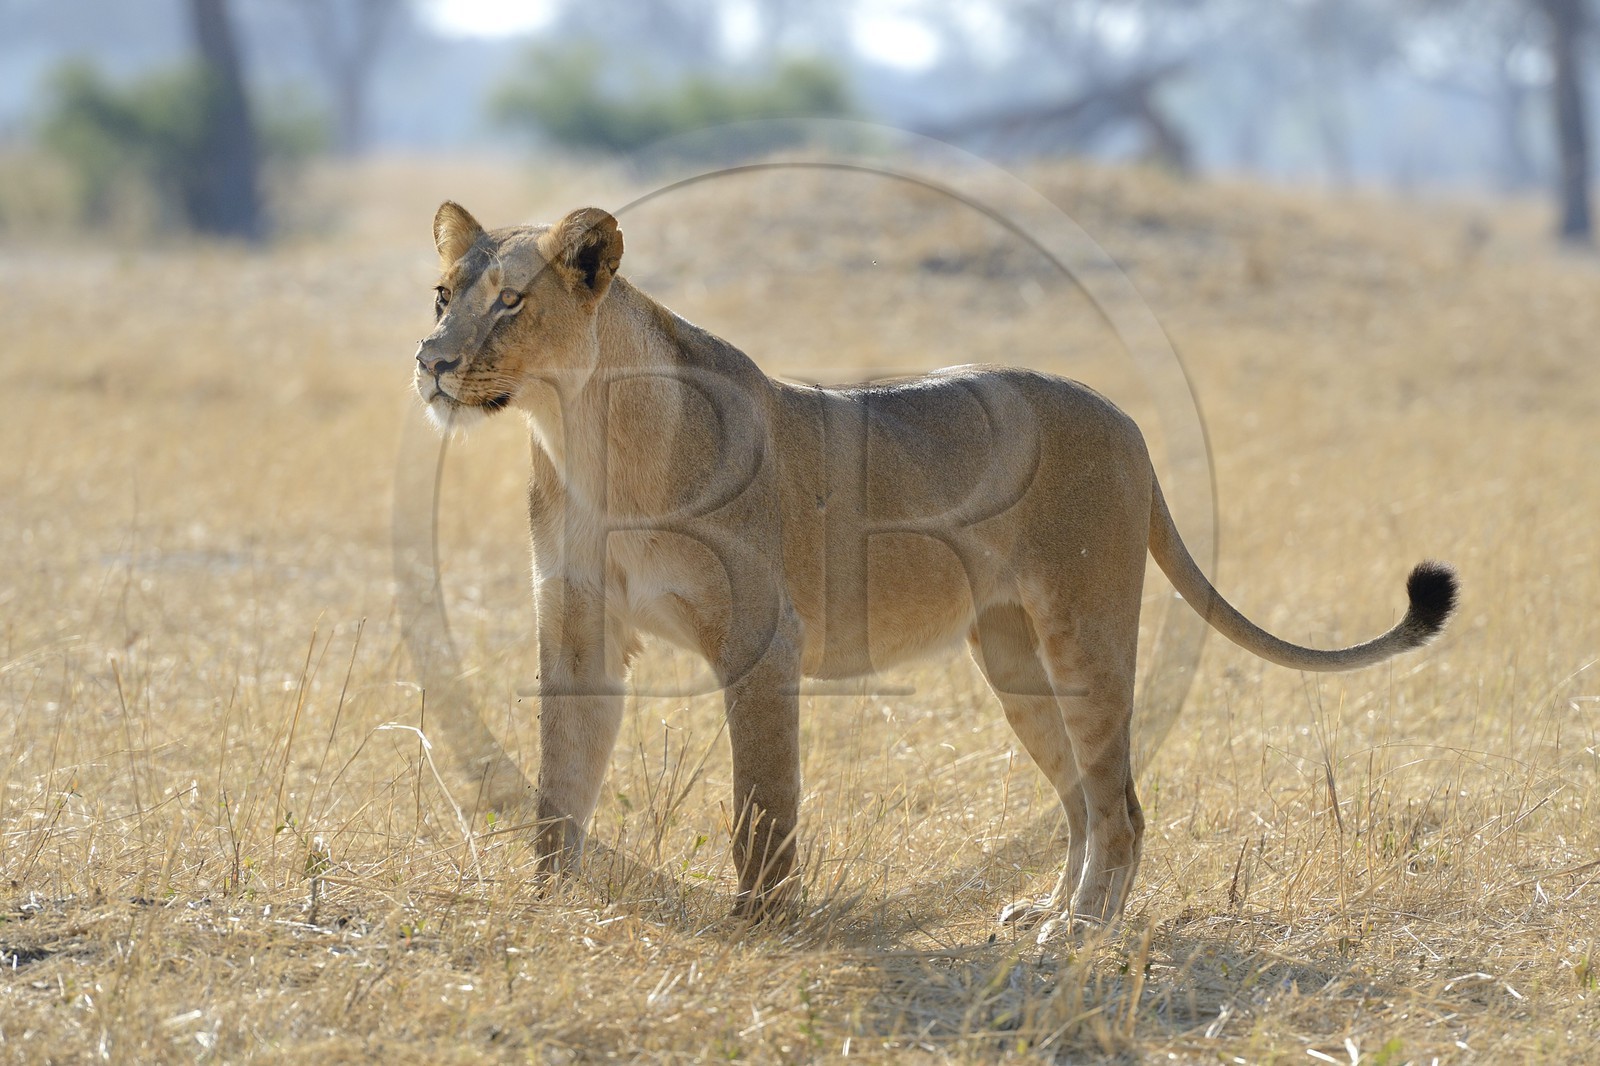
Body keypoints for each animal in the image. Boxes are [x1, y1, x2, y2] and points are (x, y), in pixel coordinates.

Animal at [412, 202, 1457, 934]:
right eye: (443, 296)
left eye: (511, 301)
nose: (431, 360)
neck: (584, 434)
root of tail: (1125, 420)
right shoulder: (578, 629)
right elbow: (560, 786)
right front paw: (546, 909)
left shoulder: (763, 638)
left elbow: (762, 800)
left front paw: (761, 926)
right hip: (1012, 656)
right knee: (1081, 797)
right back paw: (1049, 911)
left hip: (1084, 628)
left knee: (1121, 803)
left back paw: (1083, 931)